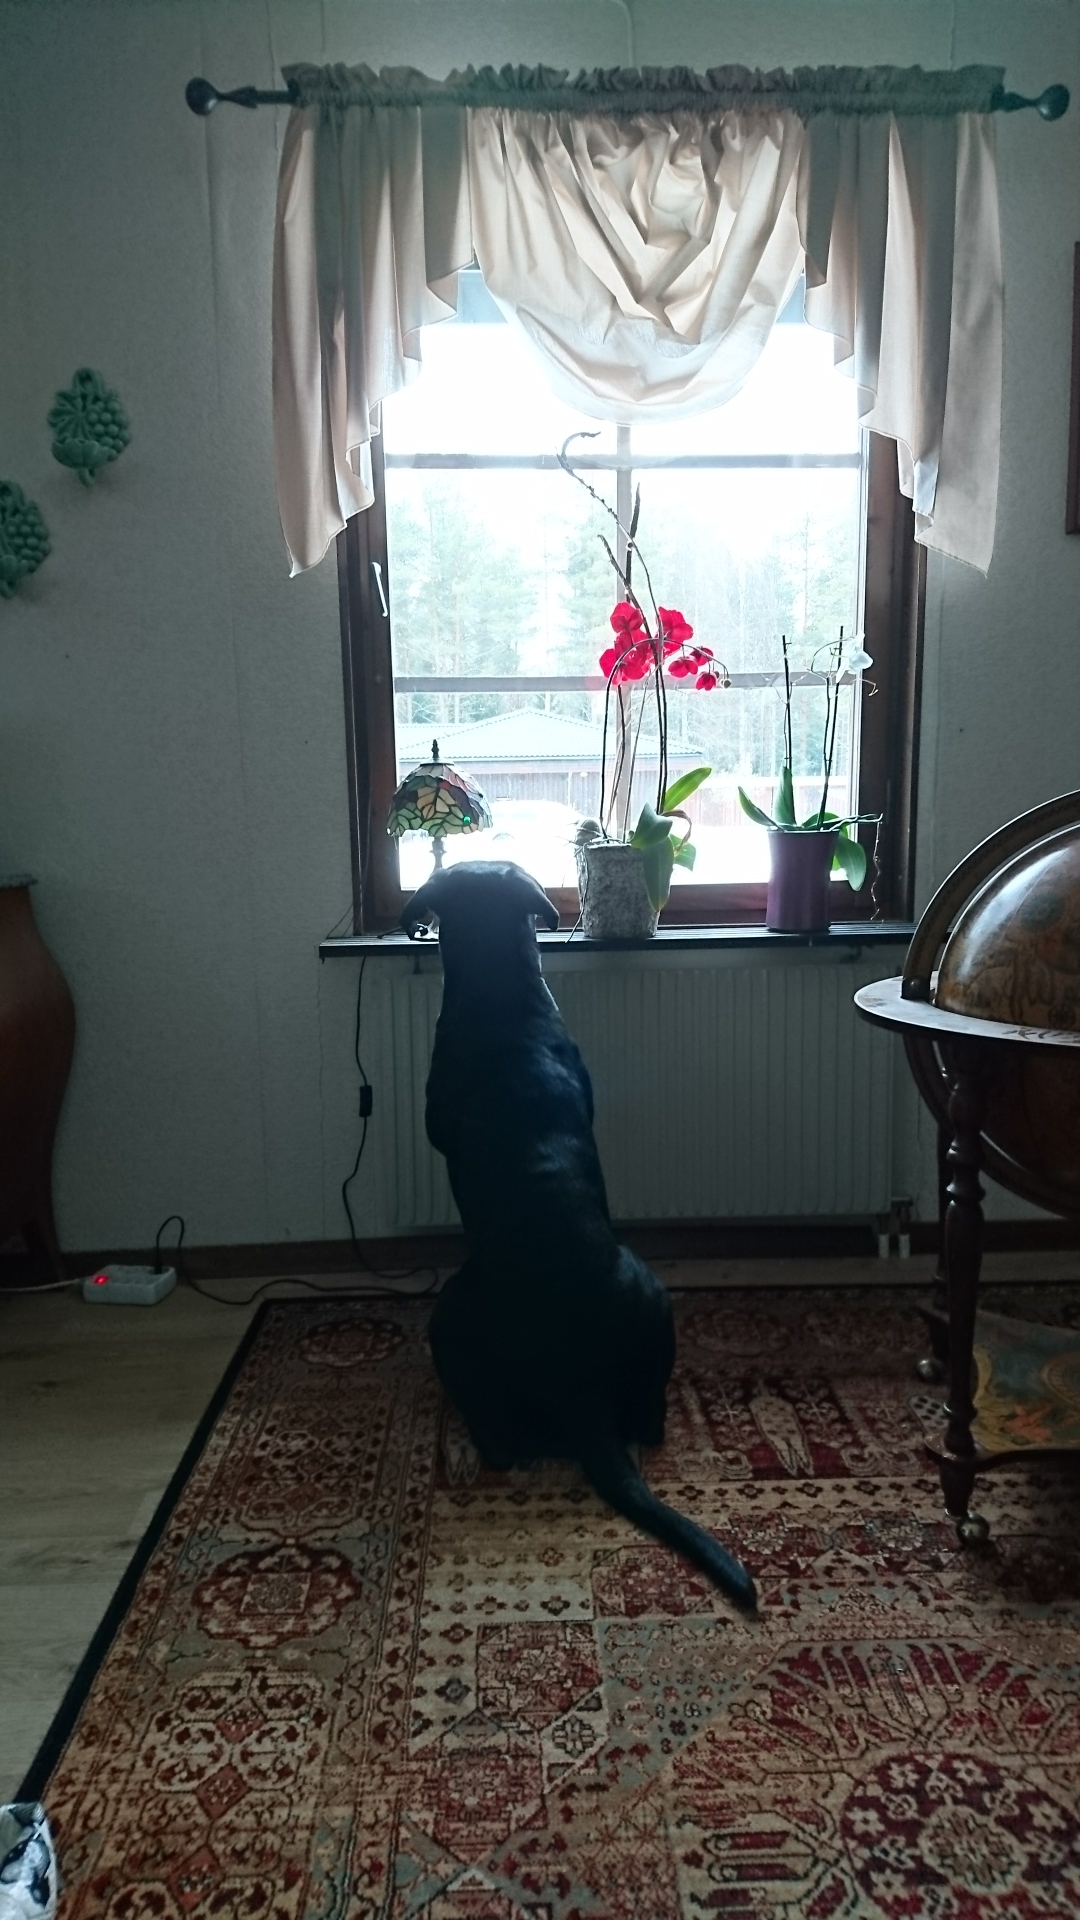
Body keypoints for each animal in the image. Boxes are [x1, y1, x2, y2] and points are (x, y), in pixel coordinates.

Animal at [403, 860, 756, 1612]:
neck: (498, 987)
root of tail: (581, 1391)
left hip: (448, 1321)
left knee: (500, 1438)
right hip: (655, 1299)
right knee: (648, 1418)